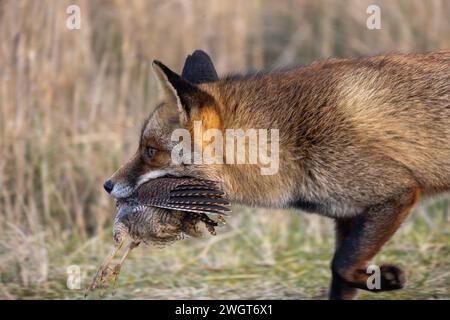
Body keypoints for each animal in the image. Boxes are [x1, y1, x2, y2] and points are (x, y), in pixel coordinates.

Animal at [103, 48, 450, 298]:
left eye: (149, 150)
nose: (107, 185)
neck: (290, 142)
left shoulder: (397, 192)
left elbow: (339, 264)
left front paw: (386, 279)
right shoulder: (348, 215)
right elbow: (339, 273)